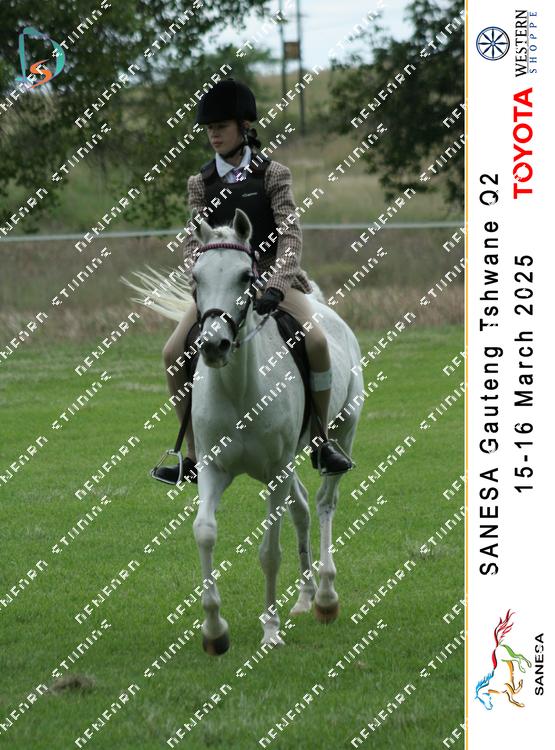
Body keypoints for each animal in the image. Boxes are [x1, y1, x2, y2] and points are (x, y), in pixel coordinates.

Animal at [123, 208, 364, 655]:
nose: (213, 345)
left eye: (245, 276)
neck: (239, 390)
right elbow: (204, 532)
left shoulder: (274, 475)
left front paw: (270, 630)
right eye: (195, 276)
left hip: (343, 430)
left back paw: (325, 597)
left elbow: (269, 552)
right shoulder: (215, 471)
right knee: (302, 510)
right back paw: (305, 598)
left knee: (324, 503)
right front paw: (214, 631)